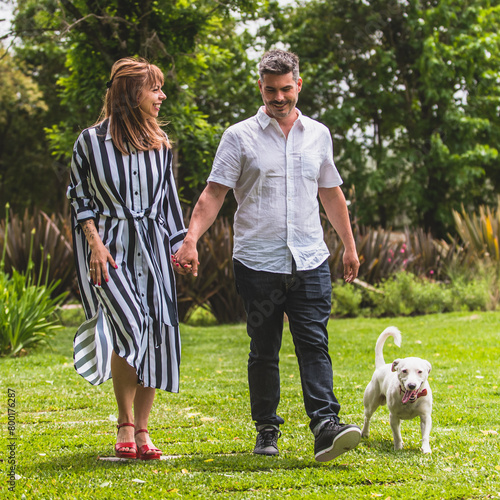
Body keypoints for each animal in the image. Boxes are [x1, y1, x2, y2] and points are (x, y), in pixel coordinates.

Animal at [360, 326, 434, 456]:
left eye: (420, 371)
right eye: (404, 370)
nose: (411, 385)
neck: (410, 401)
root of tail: (381, 367)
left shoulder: (425, 416)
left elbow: (425, 435)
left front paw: (426, 449)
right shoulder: (393, 416)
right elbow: (397, 434)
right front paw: (398, 448)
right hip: (371, 402)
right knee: (367, 417)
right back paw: (365, 432)